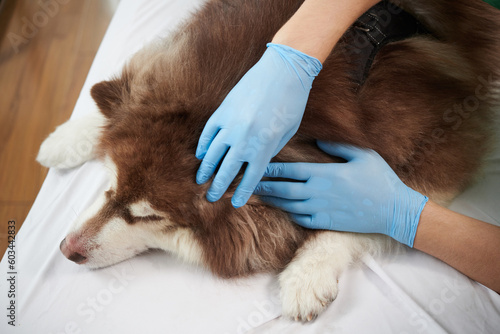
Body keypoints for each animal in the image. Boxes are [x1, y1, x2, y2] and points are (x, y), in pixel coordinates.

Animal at [37, 0, 498, 324]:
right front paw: (70, 135)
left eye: (151, 217)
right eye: (109, 186)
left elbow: (371, 210)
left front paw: (307, 272)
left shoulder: (444, 144)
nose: (65, 250)